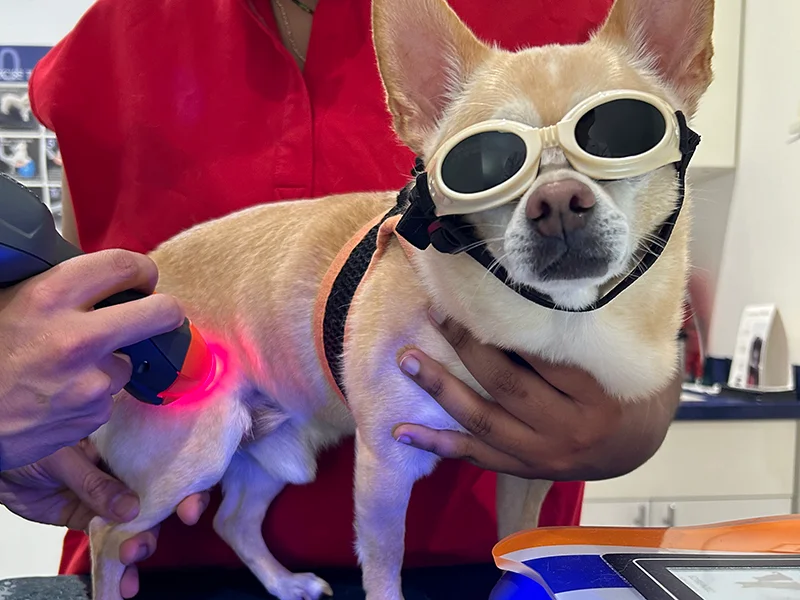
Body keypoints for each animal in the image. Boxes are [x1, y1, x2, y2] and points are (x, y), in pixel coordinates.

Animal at [86, 0, 712, 596]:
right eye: (483, 166)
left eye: (619, 138)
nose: (557, 200)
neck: (551, 315)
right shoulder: (386, 466)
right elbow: (385, 565)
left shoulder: (530, 468)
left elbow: (519, 542)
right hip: (195, 448)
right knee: (107, 533)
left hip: (278, 450)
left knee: (232, 520)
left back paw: (284, 583)